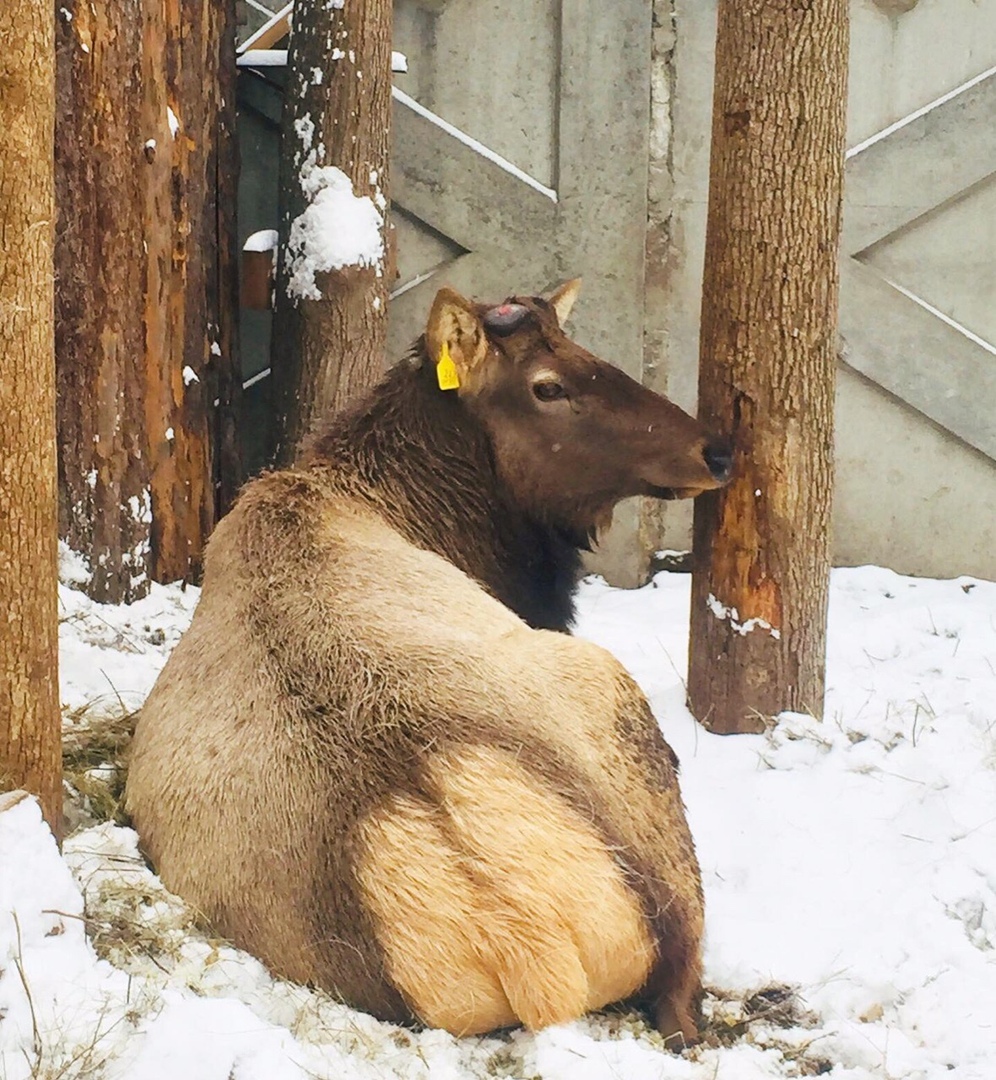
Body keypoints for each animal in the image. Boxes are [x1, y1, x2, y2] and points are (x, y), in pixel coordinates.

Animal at [124, 280, 730, 1045]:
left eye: (582, 346)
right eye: (548, 385)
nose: (716, 449)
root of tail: (527, 940)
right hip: (616, 706)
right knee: (682, 983)